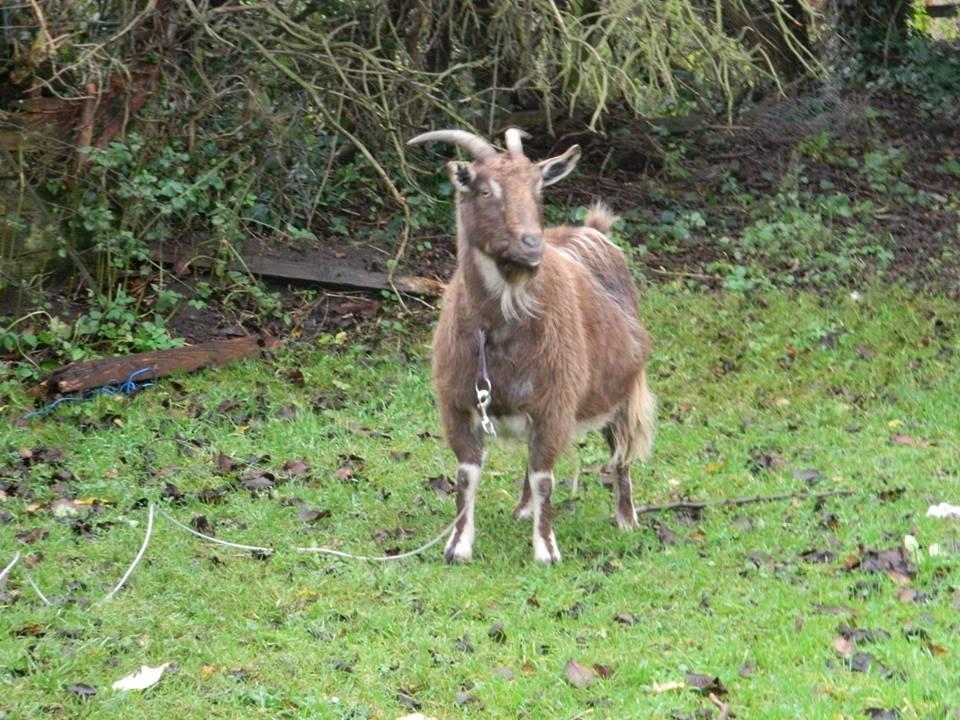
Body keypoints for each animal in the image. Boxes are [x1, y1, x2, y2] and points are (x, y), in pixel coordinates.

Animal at [408, 131, 656, 568]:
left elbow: (545, 479)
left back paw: (626, 518)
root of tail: (593, 231)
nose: (531, 245)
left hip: (623, 390)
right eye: (485, 190)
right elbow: (466, 474)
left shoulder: (555, 403)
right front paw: (458, 546)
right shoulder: (457, 403)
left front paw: (547, 551)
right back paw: (523, 509)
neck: (496, 333)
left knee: (621, 452)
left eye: (539, 190)